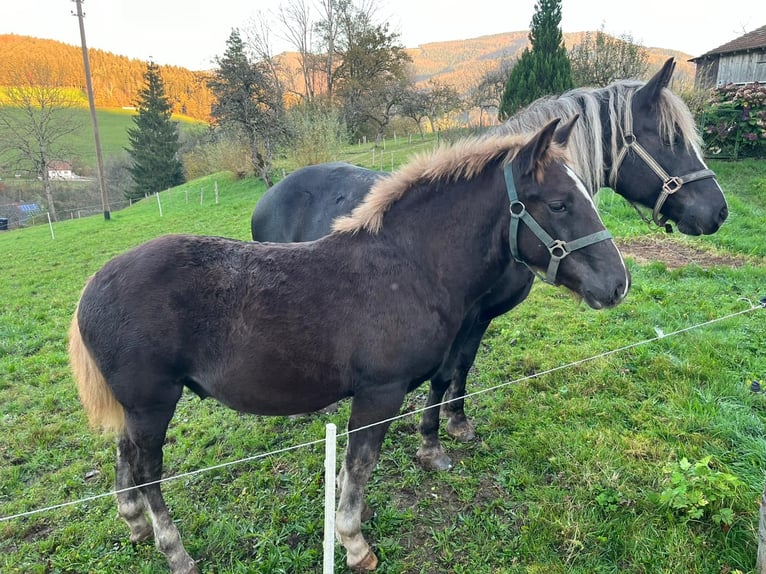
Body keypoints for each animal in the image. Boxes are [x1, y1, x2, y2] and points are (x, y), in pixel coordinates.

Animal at [70, 119, 632, 572]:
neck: (409, 266)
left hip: (138, 406)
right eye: (559, 203)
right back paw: (174, 551)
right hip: (154, 403)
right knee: (148, 473)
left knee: (124, 454)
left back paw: (133, 524)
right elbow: (358, 467)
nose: (618, 284)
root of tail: (91, 288)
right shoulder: (379, 392)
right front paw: (355, 544)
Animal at [254, 57, 732, 472]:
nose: (719, 212)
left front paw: (457, 422)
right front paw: (431, 443)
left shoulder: (482, 317)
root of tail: (271, 193)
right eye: (670, 139)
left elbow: (463, 366)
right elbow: (444, 373)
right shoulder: (462, 316)